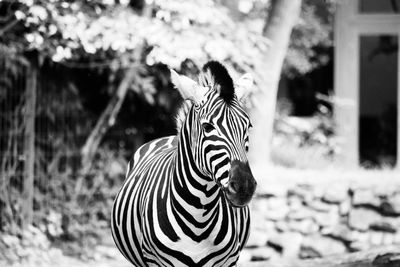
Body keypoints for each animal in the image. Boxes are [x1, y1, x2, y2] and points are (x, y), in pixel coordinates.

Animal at [111, 61, 258, 267]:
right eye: (207, 127)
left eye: (248, 126)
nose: (244, 187)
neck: (199, 218)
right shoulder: (154, 261)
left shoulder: (230, 261)